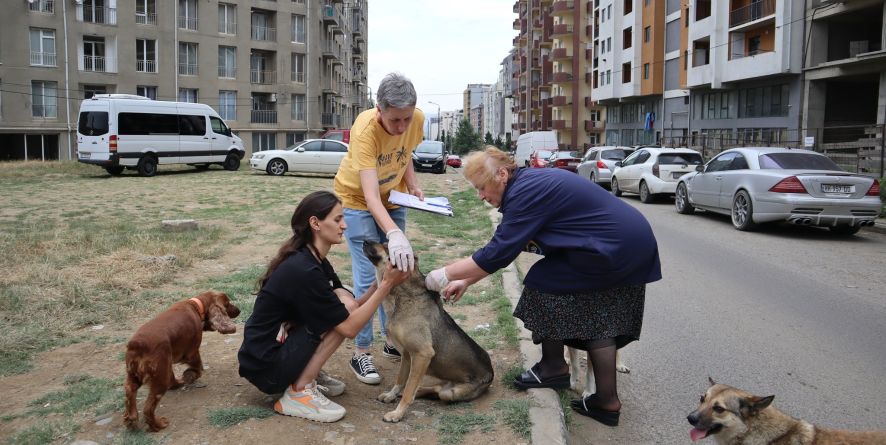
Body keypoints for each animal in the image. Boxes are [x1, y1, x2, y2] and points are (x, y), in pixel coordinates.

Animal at [364, 241, 496, 422]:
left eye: (386, 247)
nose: (364, 241)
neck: (403, 296)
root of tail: (491, 373)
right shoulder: (407, 355)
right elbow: (401, 380)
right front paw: (392, 395)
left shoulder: (422, 354)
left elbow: (408, 390)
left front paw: (398, 413)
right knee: (434, 388)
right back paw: (416, 391)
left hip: (451, 393)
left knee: (437, 392)